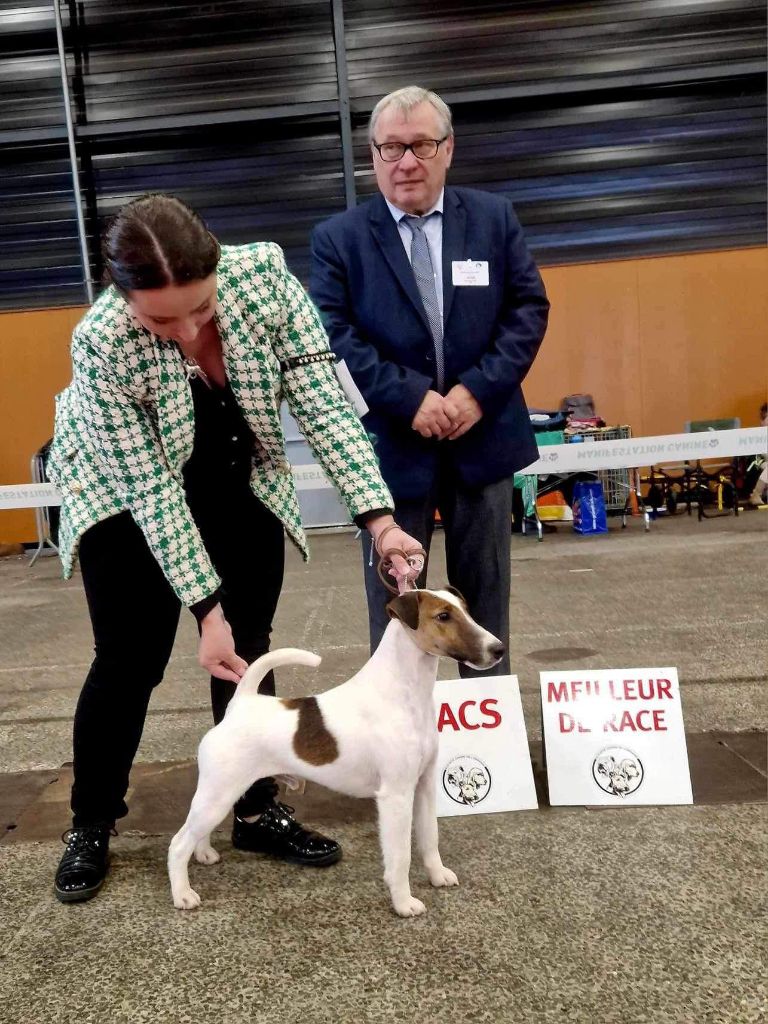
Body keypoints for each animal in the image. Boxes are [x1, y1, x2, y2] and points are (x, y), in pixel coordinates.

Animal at [167, 589, 505, 917]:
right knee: (178, 843)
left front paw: (438, 876)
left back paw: (205, 853)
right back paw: (183, 895)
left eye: (466, 609)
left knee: (197, 832)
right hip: (219, 792)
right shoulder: (396, 796)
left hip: (221, 794)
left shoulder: (423, 786)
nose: (498, 648)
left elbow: (429, 838)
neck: (404, 693)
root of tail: (240, 705)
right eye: (443, 616)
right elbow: (400, 858)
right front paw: (404, 903)